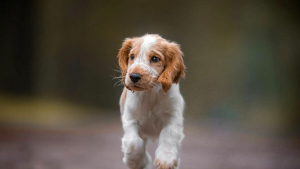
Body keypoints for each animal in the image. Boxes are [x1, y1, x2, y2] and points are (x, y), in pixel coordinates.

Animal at [118, 34, 186, 169]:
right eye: (132, 56)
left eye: (155, 59)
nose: (134, 76)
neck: (150, 93)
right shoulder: (130, 118)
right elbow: (133, 142)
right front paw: (138, 162)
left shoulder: (173, 117)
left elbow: (169, 135)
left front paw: (166, 160)